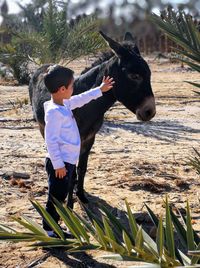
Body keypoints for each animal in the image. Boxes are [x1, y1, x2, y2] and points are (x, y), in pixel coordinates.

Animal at [28, 31, 156, 204]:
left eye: (149, 75)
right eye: (134, 76)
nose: (151, 112)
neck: (88, 108)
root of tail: (42, 66)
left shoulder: (90, 139)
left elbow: (82, 169)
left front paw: (81, 195)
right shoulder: (76, 140)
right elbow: (72, 172)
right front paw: (69, 204)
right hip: (42, 126)